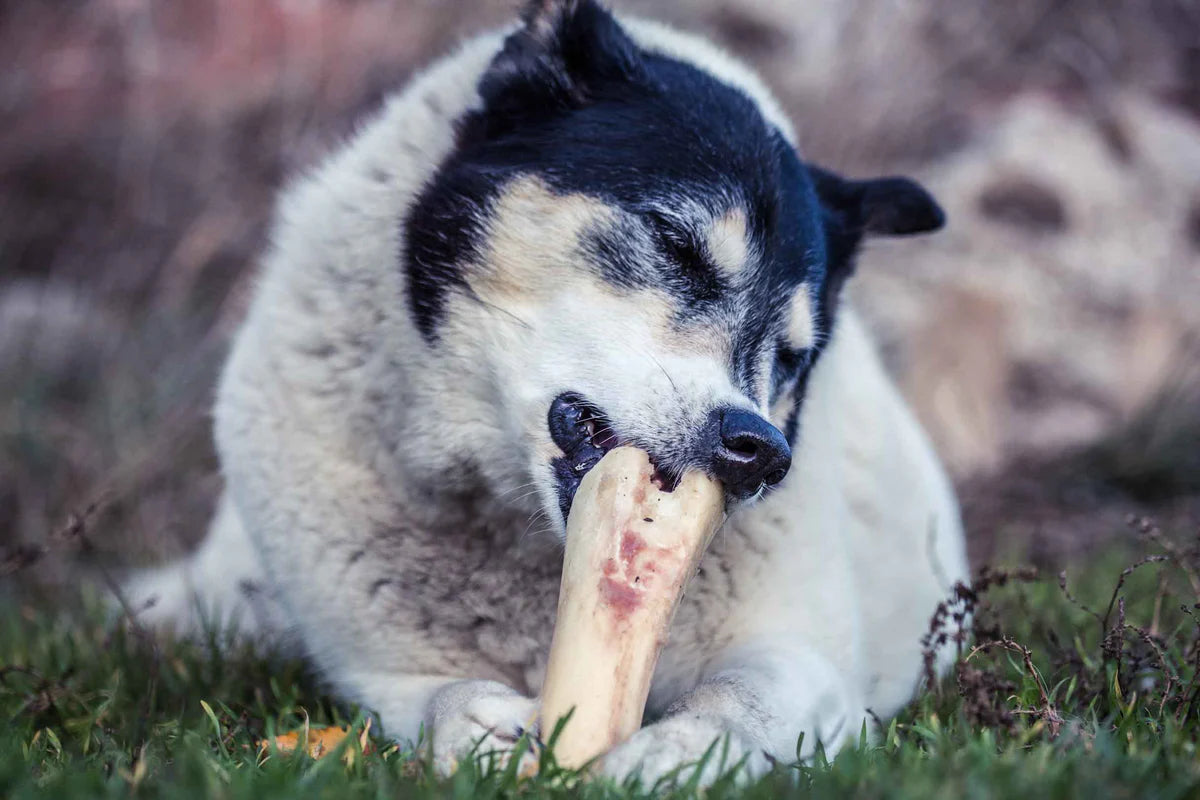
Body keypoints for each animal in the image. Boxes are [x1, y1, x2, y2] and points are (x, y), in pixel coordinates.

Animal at [124, 0, 964, 786]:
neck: (527, 538)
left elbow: (745, 697)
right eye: (674, 242)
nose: (762, 452)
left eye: (792, 358)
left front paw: (682, 753)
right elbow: (423, 697)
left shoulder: (804, 659)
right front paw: (472, 727)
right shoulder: (375, 669)